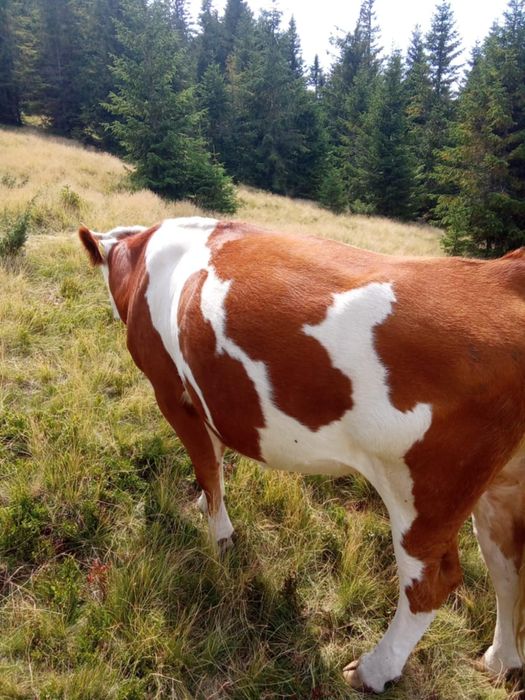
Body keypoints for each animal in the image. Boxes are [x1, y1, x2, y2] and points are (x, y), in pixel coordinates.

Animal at [79, 217, 525, 693]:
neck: (144, 258)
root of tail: (502, 273)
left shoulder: (172, 393)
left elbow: (207, 465)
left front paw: (219, 536)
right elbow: (214, 463)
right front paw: (204, 506)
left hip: (427, 492)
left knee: (433, 583)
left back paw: (373, 670)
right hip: (499, 487)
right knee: (506, 567)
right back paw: (499, 662)